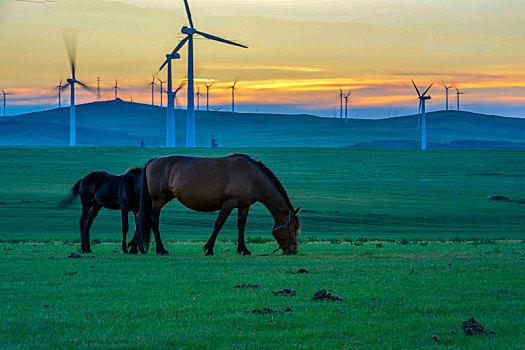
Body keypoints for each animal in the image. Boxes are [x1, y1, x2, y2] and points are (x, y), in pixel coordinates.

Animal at [127, 154, 300, 256]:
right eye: (293, 228)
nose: (293, 251)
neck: (251, 176)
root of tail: (153, 161)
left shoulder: (244, 205)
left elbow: (241, 226)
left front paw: (243, 250)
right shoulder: (228, 203)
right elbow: (218, 224)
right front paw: (209, 248)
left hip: (164, 198)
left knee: (144, 219)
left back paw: (135, 247)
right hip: (158, 199)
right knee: (153, 221)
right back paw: (161, 250)